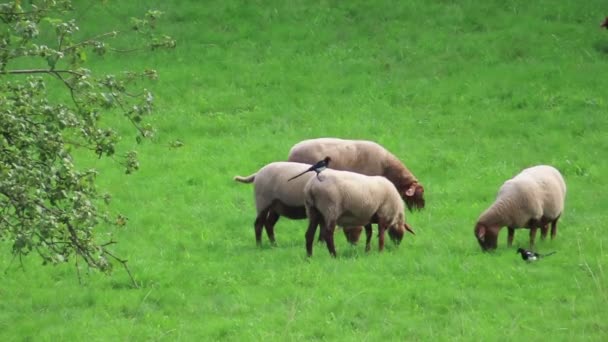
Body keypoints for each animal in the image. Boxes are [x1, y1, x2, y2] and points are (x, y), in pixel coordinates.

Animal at [234, 162, 366, 246]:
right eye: (353, 229)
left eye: (361, 230)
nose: (354, 244)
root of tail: (257, 174)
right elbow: (323, 228)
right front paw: (321, 244)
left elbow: (322, 227)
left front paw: (320, 243)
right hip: (263, 201)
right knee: (259, 224)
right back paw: (259, 245)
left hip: (276, 205)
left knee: (269, 223)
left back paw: (274, 244)